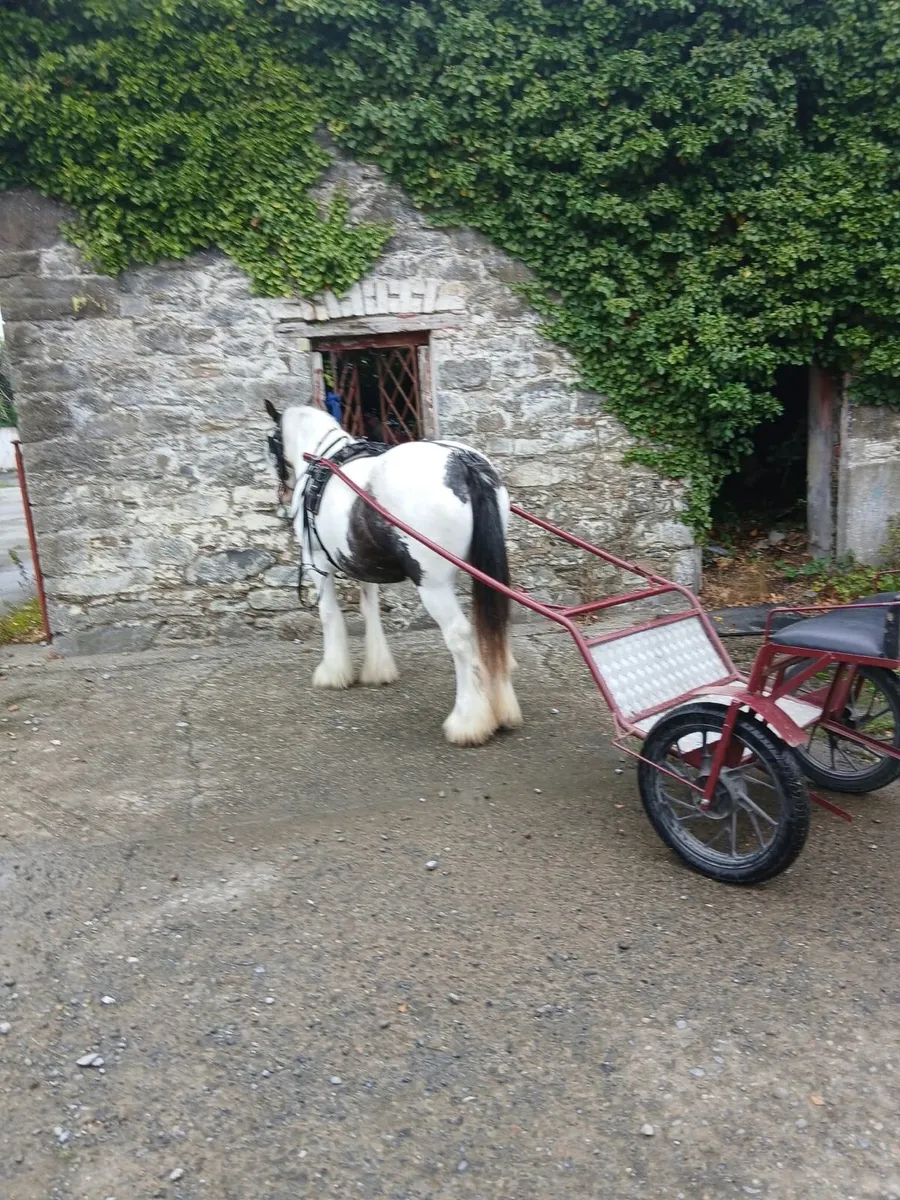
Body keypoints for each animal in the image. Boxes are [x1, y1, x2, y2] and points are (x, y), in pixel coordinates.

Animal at [264, 401, 522, 746]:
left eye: (270, 441)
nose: (281, 494)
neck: (320, 460)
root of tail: (462, 463)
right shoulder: (361, 563)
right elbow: (369, 608)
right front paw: (377, 669)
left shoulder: (317, 563)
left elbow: (330, 615)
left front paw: (332, 673)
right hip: (483, 572)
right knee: (492, 626)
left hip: (433, 584)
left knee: (461, 637)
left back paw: (468, 722)